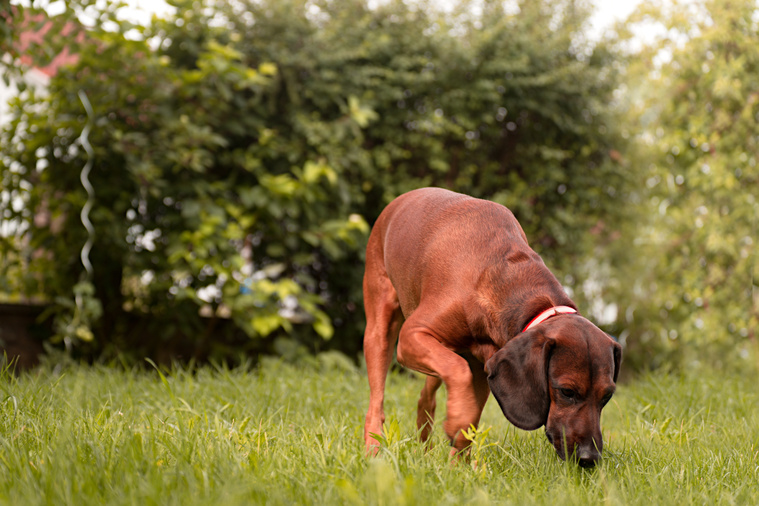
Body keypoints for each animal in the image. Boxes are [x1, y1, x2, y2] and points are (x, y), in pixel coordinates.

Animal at [364, 188, 624, 468]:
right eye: (567, 392)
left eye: (607, 396)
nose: (590, 458)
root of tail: (402, 199)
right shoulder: (413, 335)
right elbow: (458, 371)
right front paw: (455, 423)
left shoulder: (484, 367)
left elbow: (470, 417)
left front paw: (457, 468)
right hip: (381, 329)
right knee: (376, 403)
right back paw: (372, 450)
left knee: (426, 396)